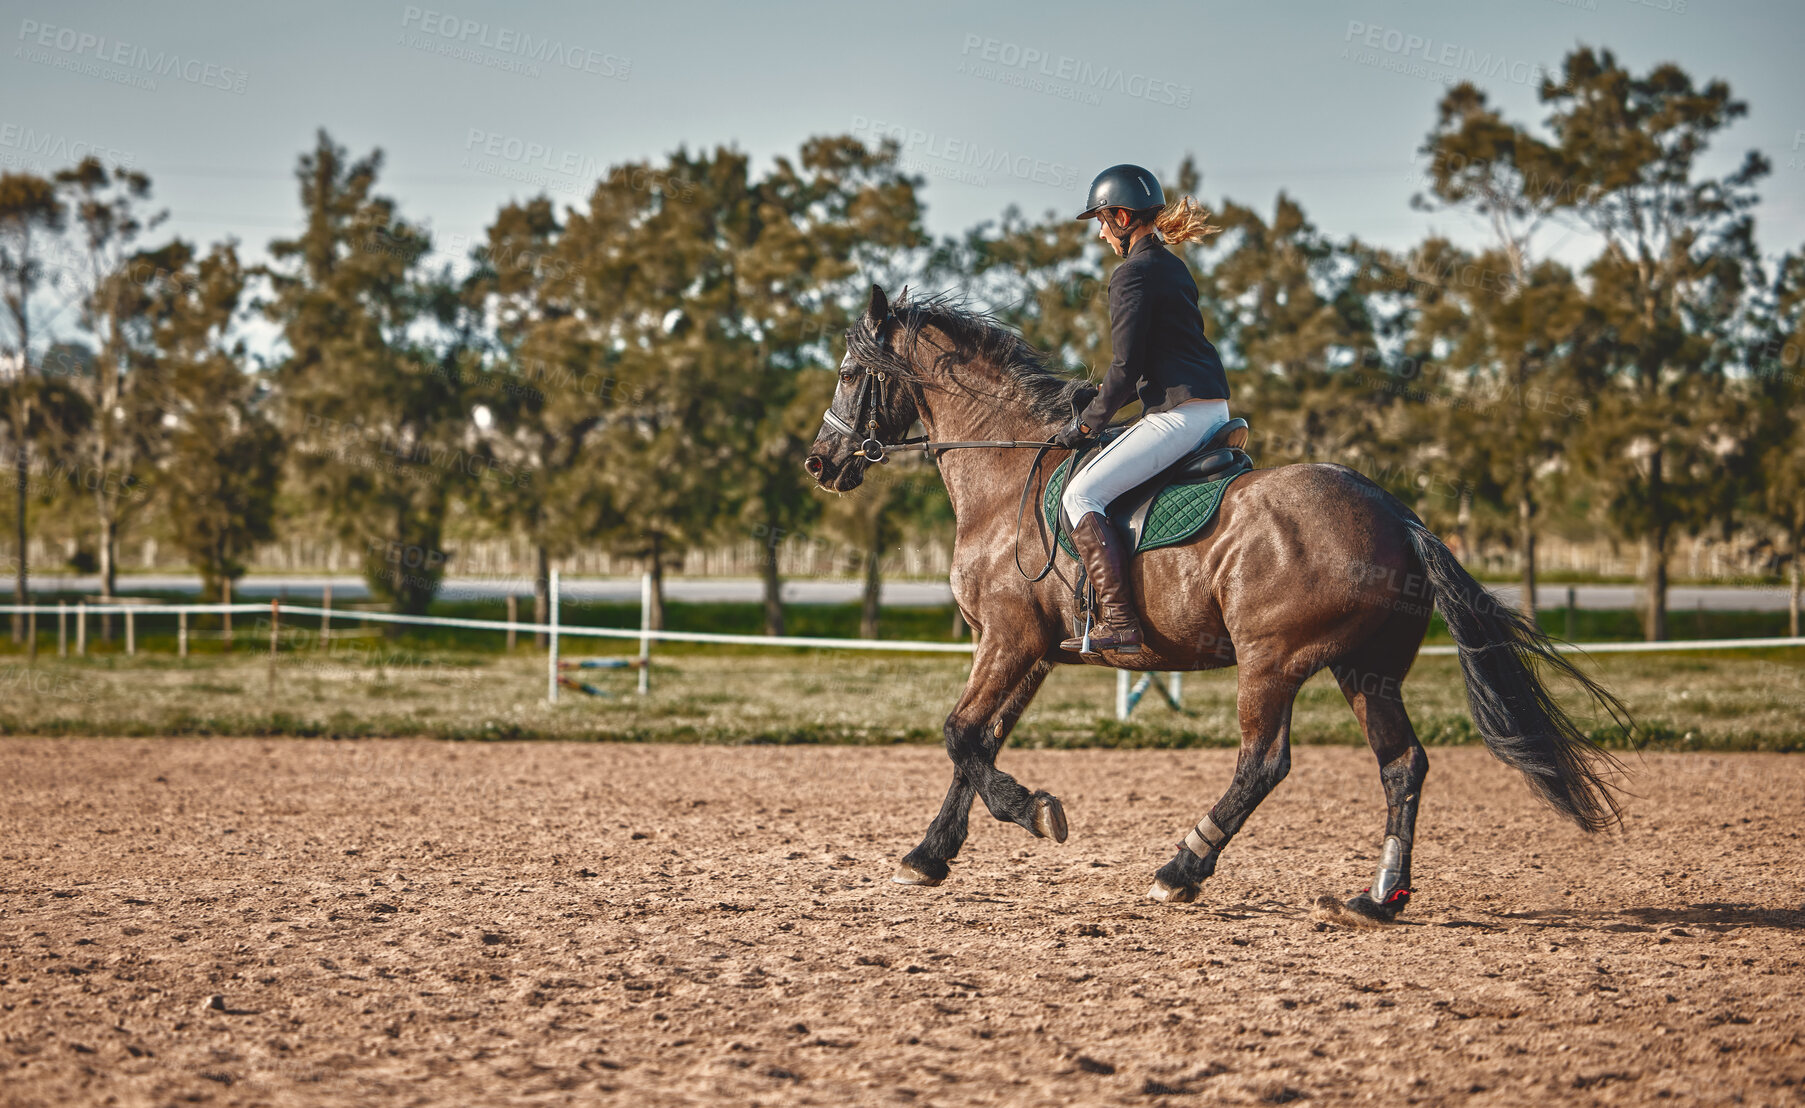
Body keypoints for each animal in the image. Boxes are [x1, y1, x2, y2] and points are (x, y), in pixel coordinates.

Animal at [801, 286, 1624, 920]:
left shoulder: (1008, 641)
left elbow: (960, 735)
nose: (820, 462)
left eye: (847, 371)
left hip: (1272, 662)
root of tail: (1397, 515)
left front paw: (1034, 813)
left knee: (1263, 763)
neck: (1005, 476)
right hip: (1366, 670)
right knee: (1402, 766)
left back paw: (1182, 868)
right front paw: (928, 855)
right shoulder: (1029, 652)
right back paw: (1377, 898)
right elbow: (978, 743)